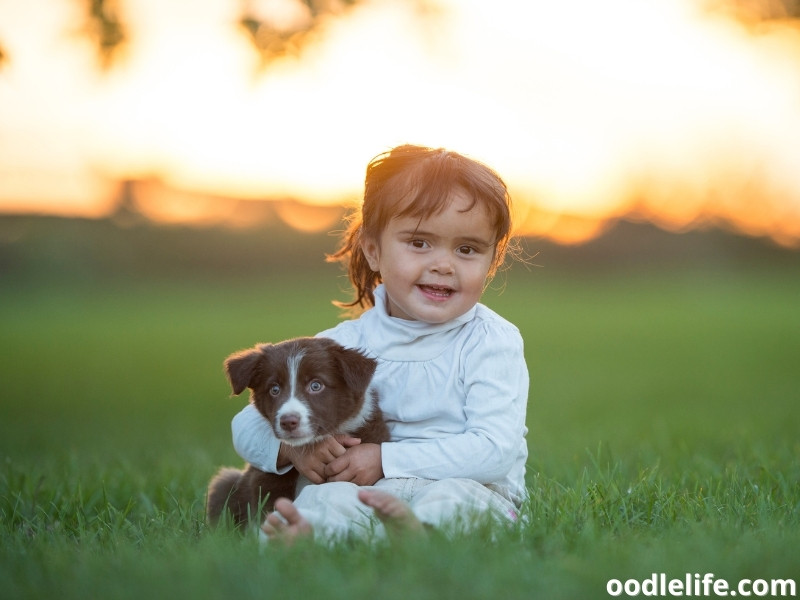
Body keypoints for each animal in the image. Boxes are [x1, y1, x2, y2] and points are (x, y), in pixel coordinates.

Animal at [206, 340, 388, 528]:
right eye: (274, 389)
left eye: (316, 385)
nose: (288, 422)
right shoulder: (266, 478)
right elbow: (269, 507)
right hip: (226, 484)